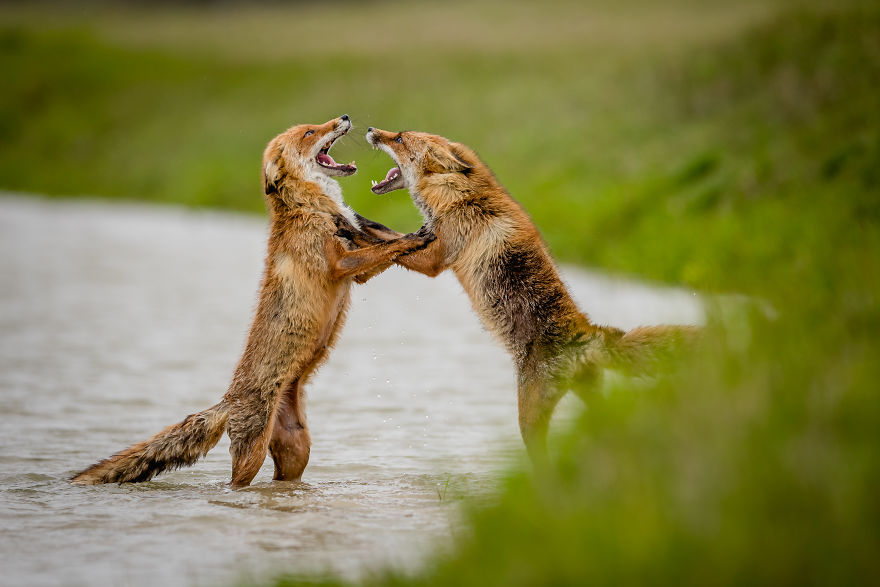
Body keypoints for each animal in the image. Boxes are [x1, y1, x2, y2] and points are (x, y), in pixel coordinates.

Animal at [71, 115, 434, 487]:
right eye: (310, 132)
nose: (344, 118)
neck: (310, 207)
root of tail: (228, 400)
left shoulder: (355, 261)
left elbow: (380, 243)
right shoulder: (338, 266)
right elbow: (386, 247)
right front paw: (415, 237)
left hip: (297, 451)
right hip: (253, 455)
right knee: (236, 483)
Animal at [357, 126, 698, 460]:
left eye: (399, 138)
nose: (371, 129)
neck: (462, 197)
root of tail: (588, 334)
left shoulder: (435, 260)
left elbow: (387, 240)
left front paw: (355, 231)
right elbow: (387, 235)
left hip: (528, 419)